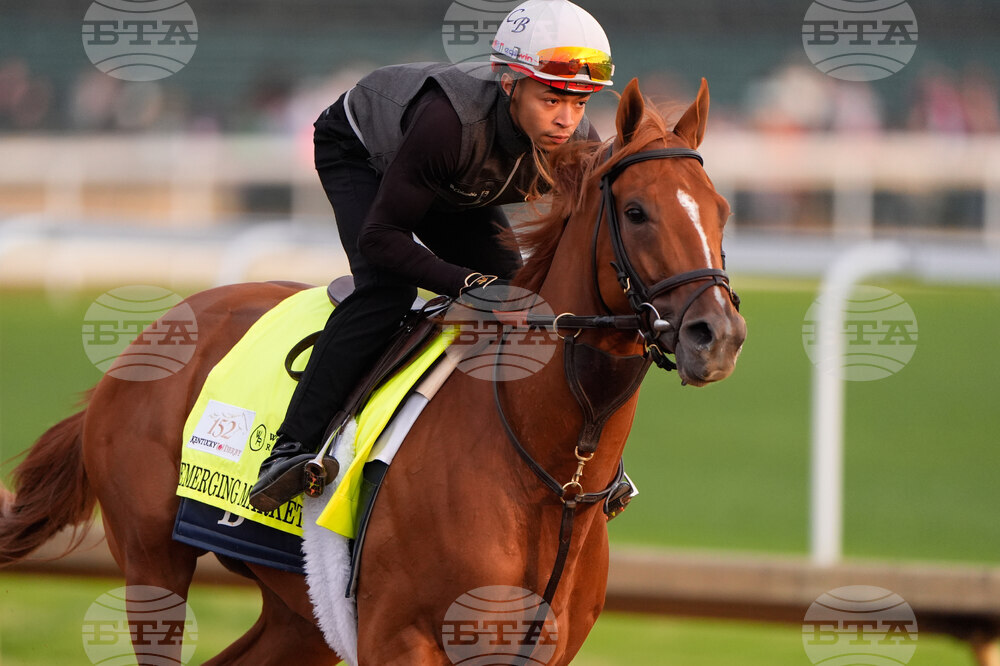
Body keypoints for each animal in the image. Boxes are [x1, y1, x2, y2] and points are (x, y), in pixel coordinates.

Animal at [0, 78, 745, 664]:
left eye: (721, 211)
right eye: (637, 211)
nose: (718, 336)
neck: (553, 478)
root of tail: (147, 338)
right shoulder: (400, 639)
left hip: (301, 613)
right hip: (153, 564)